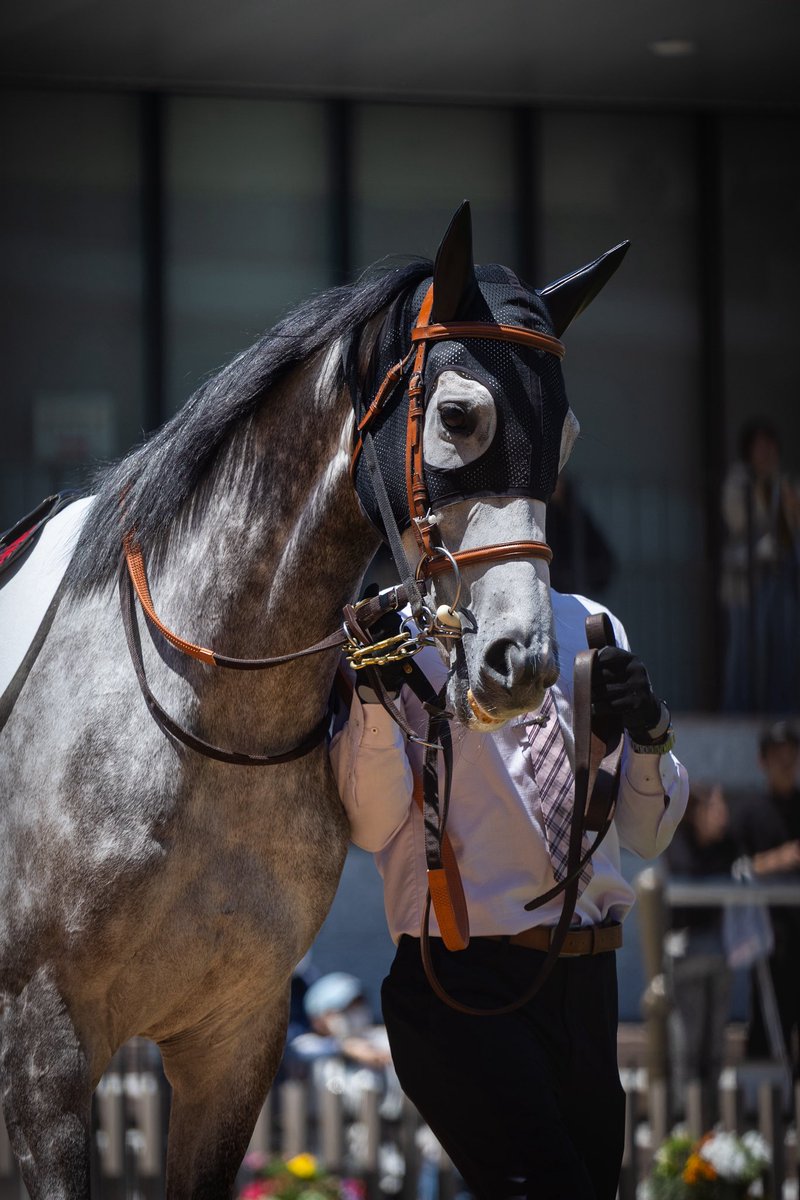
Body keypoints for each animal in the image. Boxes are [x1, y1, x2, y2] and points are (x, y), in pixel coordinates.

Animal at [0, 201, 626, 1198]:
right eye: (458, 415)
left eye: (563, 438)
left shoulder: (234, 1039)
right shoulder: (44, 1049)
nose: (518, 660)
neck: (194, 730)